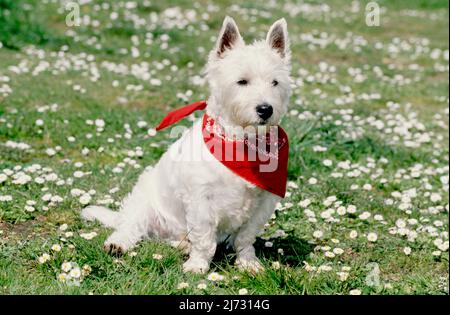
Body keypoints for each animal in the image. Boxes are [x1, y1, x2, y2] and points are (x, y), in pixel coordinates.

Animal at [81, 16, 292, 274]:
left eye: (275, 82)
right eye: (242, 81)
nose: (265, 109)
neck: (239, 143)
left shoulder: (263, 203)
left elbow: (245, 238)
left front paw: (248, 263)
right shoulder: (201, 199)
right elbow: (204, 239)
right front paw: (197, 266)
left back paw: (182, 245)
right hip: (145, 199)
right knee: (131, 225)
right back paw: (119, 243)